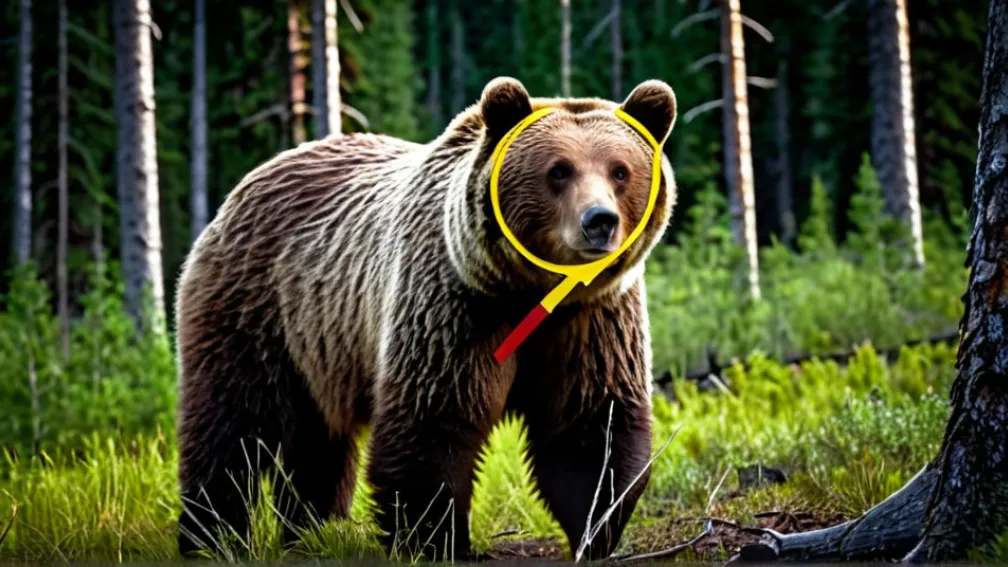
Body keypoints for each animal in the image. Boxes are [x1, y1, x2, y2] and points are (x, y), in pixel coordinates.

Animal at [174, 76, 677, 562]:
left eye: (620, 170)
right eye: (559, 170)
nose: (600, 221)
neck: (531, 289)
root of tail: (248, 182)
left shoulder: (590, 321)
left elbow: (590, 425)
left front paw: (596, 532)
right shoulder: (454, 305)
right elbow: (433, 420)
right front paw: (441, 542)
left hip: (319, 344)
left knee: (318, 441)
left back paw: (309, 530)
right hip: (255, 307)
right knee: (230, 422)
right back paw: (210, 536)